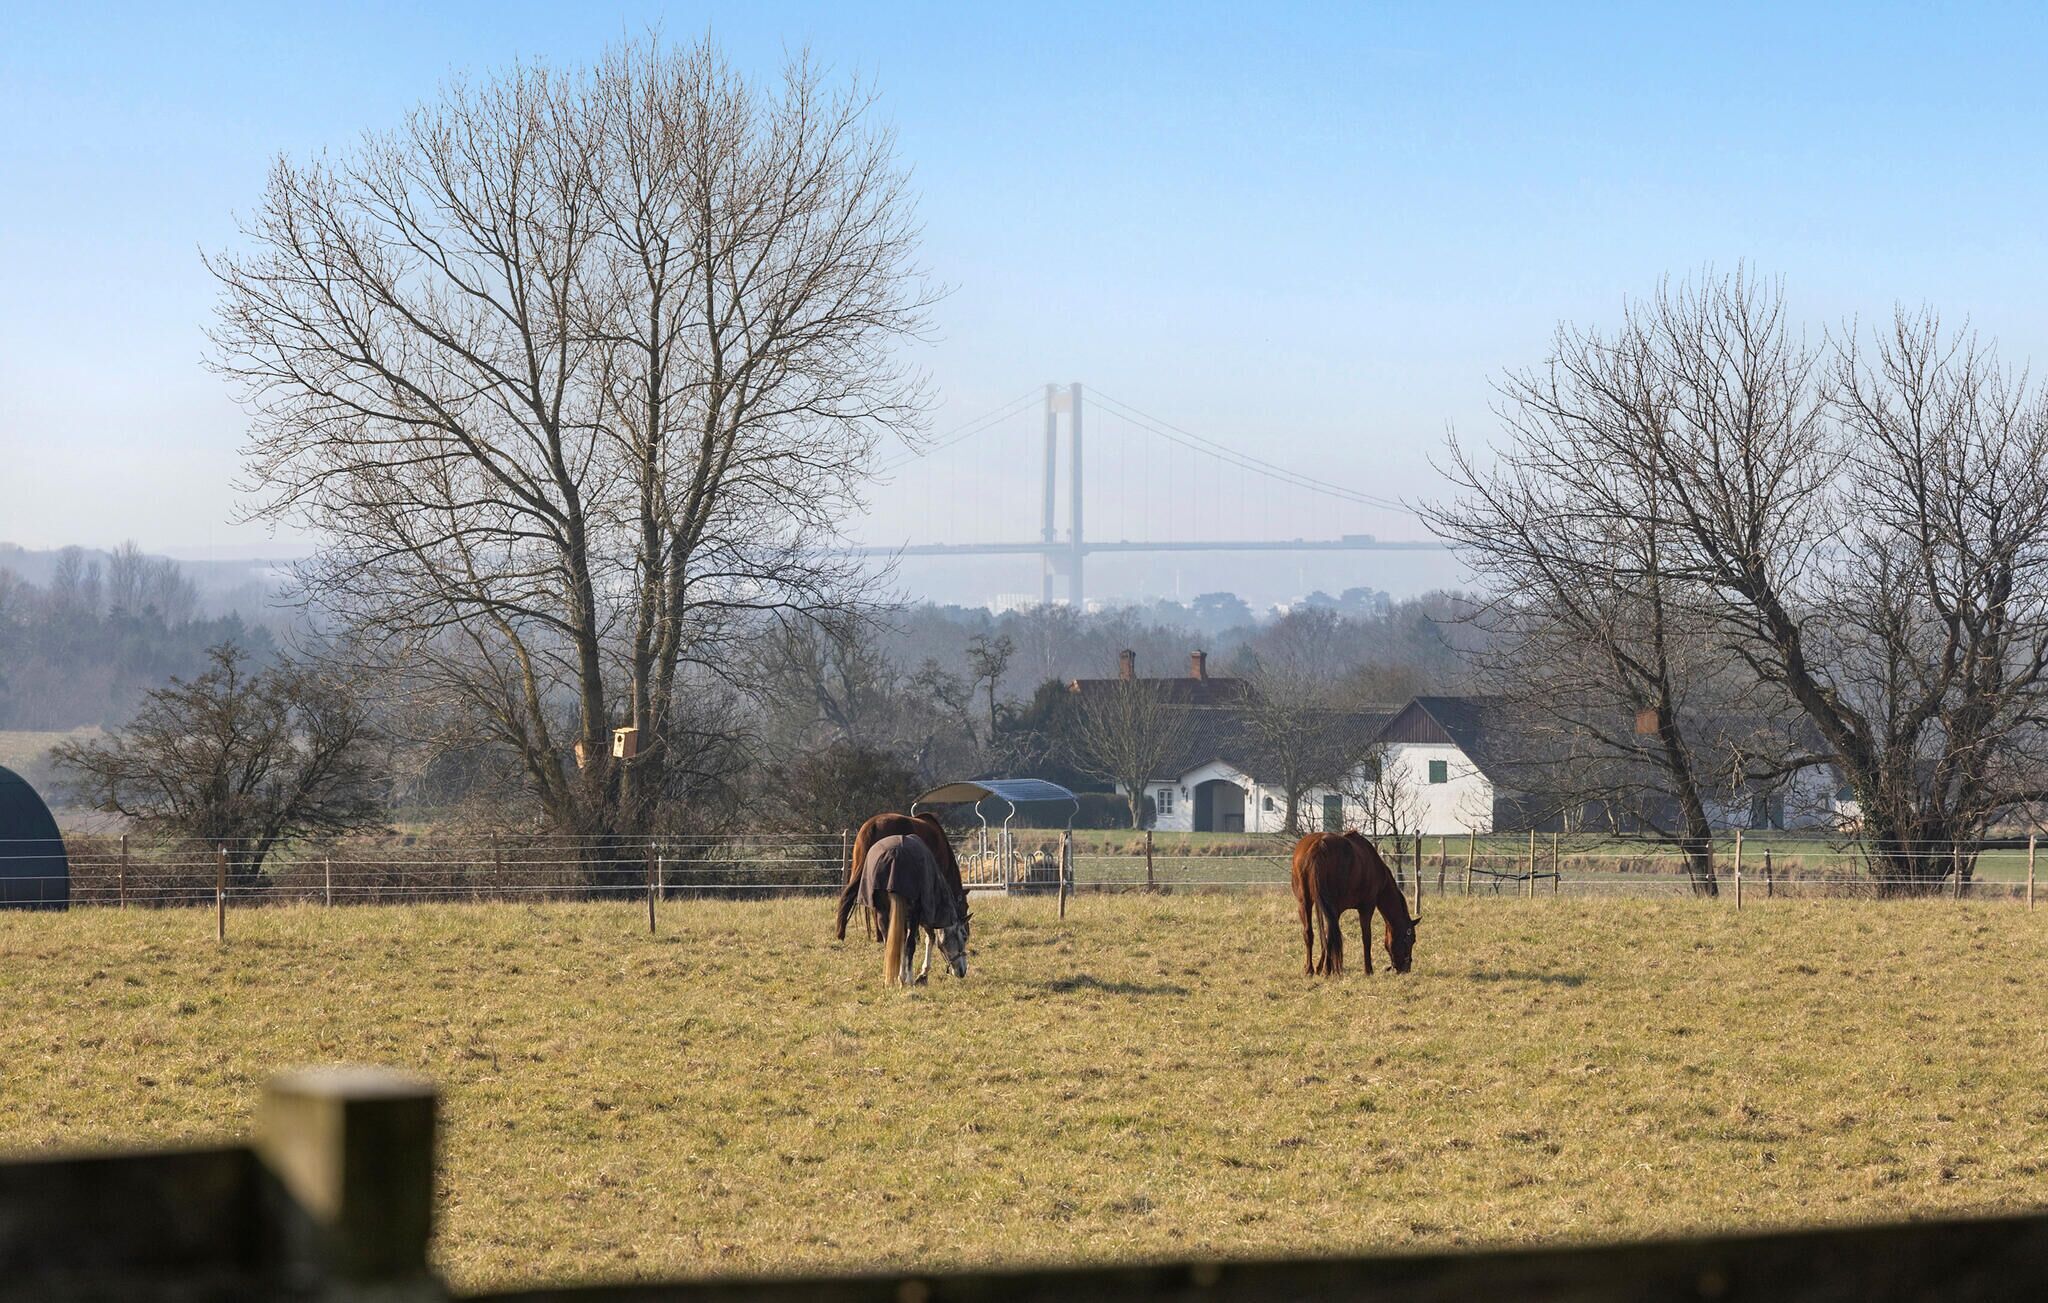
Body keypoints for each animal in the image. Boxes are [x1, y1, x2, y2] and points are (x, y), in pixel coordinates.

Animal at [1290, 831, 1419, 977]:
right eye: (1411, 939)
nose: (1406, 969)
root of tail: (1318, 846)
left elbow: (1325, 935)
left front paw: (1319, 967)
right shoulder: (1366, 907)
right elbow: (1366, 937)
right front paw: (1368, 970)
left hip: (1304, 903)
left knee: (1309, 933)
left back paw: (1310, 969)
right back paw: (1327, 970)